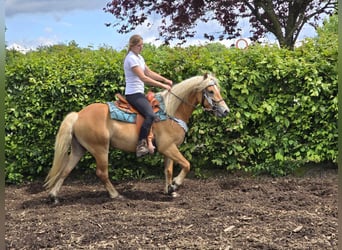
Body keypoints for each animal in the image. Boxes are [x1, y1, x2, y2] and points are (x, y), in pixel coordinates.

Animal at [43, 73, 230, 203]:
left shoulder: (168, 149)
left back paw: (53, 196)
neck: (171, 112)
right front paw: (175, 184)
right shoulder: (168, 147)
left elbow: (168, 170)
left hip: (79, 149)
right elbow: (187, 164)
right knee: (102, 173)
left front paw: (169, 190)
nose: (226, 111)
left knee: (66, 170)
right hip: (100, 149)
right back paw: (115, 195)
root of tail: (78, 115)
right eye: (211, 91)